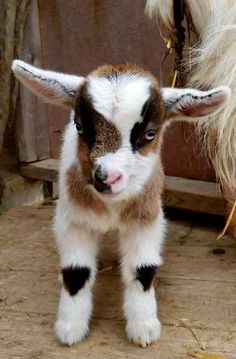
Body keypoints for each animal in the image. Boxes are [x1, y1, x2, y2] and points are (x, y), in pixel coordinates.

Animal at [12, 59, 230, 348]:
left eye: (150, 133)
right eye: (80, 127)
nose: (106, 178)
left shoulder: (146, 218)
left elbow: (142, 270)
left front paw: (144, 329)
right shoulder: (72, 219)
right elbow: (76, 272)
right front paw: (70, 329)